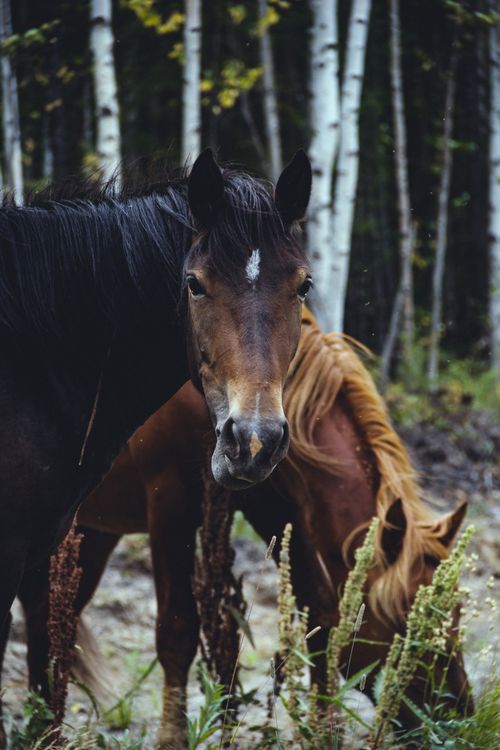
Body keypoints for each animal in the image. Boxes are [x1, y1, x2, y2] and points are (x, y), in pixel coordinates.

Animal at [12, 311, 471, 749]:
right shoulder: (171, 506)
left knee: (46, 617)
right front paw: (172, 737)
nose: (455, 714)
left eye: (455, 614)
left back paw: (44, 727)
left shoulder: (278, 509)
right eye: (404, 622)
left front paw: (325, 729)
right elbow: (177, 631)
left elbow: (320, 618)